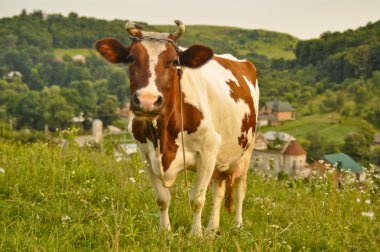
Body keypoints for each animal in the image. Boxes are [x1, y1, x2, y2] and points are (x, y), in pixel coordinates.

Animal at [96, 20, 260, 236]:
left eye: (174, 61)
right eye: (131, 58)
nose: (147, 101)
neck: (164, 137)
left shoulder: (208, 152)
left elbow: (197, 200)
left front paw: (196, 235)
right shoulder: (146, 154)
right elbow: (162, 198)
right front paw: (165, 232)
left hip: (247, 150)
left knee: (240, 188)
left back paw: (237, 226)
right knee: (219, 189)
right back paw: (212, 229)